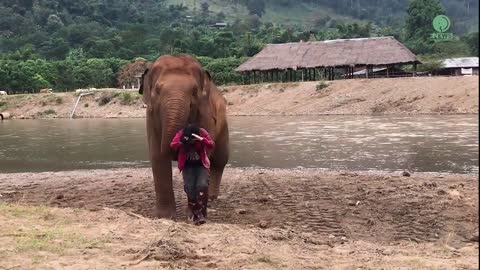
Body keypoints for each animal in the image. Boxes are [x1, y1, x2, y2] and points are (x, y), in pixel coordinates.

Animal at [140, 54, 230, 219]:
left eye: (194, 91)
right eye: (157, 90)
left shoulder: (205, 115)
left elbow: (203, 155)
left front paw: (192, 216)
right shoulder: (151, 117)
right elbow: (157, 156)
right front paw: (165, 217)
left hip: (223, 125)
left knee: (220, 160)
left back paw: (212, 198)